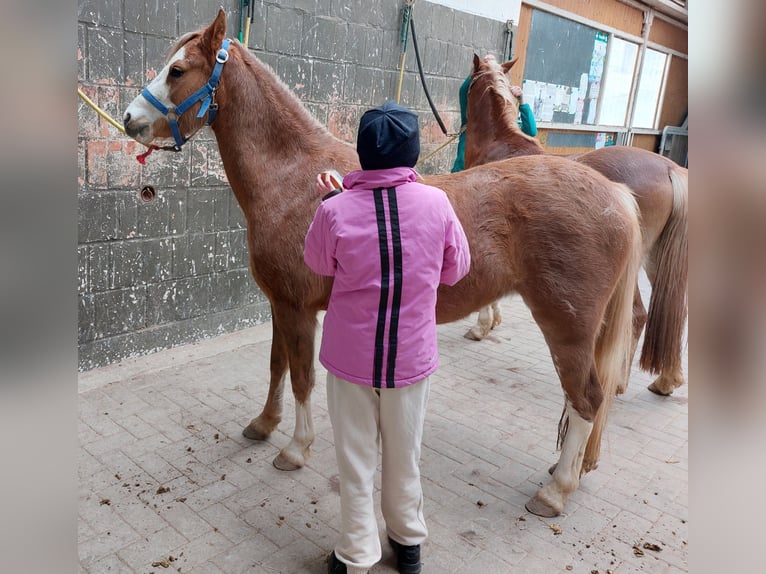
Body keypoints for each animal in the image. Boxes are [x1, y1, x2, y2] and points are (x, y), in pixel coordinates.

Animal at [123, 11, 644, 520]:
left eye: (177, 71)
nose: (130, 119)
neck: (296, 178)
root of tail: (615, 196)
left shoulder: (297, 309)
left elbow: (302, 377)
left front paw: (295, 449)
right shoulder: (279, 304)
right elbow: (276, 366)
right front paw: (264, 424)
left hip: (567, 328)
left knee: (587, 398)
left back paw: (555, 492)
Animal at [464, 54, 692, 398]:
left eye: (468, 83)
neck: (501, 145)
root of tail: (670, 168)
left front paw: (481, 326)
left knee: (637, 315)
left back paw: (618, 382)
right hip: (657, 260)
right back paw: (666, 381)